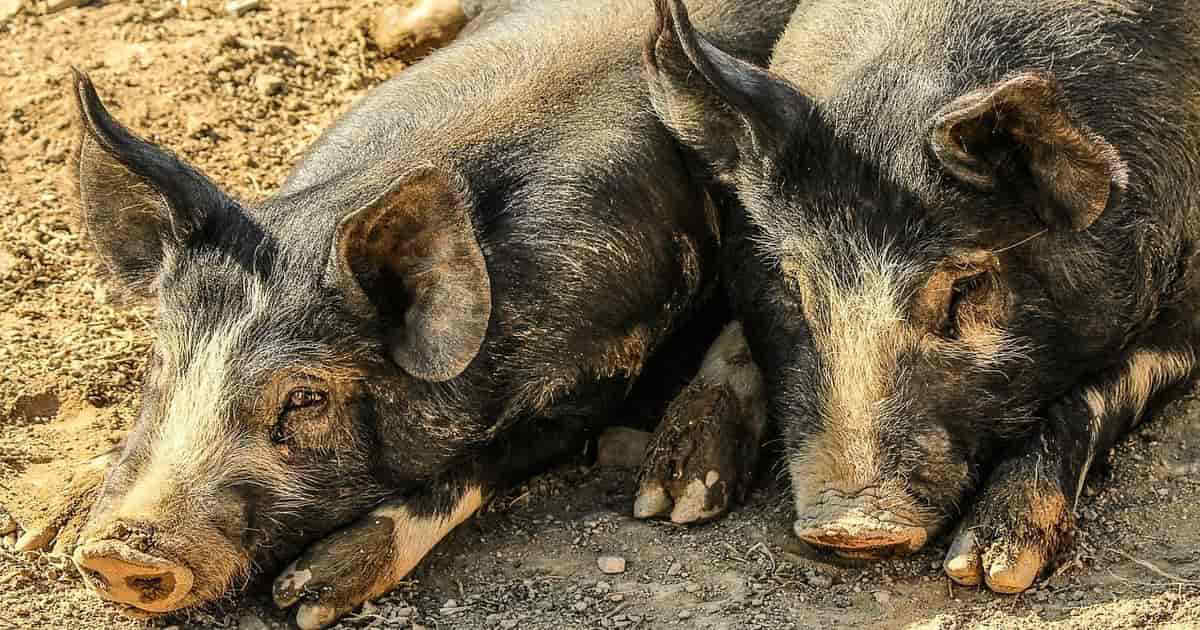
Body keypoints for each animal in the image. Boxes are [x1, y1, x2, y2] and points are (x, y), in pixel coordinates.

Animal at [9, 0, 801, 624]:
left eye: (305, 397)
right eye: (161, 363)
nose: (118, 552)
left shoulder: (603, 365)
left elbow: (474, 469)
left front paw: (308, 596)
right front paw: (53, 533)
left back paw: (679, 495)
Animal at [648, 0, 1200, 595]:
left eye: (963, 287)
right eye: (792, 283)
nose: (851, 528)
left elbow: (1097, 391)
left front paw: (990, 568)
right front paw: (670, 498)